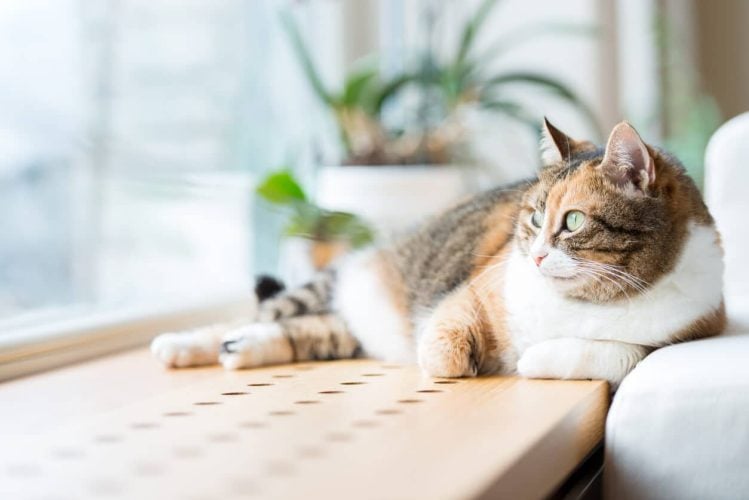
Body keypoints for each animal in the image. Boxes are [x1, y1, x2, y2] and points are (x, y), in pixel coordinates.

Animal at [152, 120, 724, 386]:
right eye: (534, 218)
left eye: (575, 222)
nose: (538, 256)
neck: (581, 303)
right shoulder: (472, 290)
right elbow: (443, 347)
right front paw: (464, 359)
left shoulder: (689, 329)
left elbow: (620, 353)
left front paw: (532, 357)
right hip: (335, 280)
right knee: (264, 313)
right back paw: (182, 344)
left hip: (341, 328)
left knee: (301, 331)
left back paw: (239, 349)